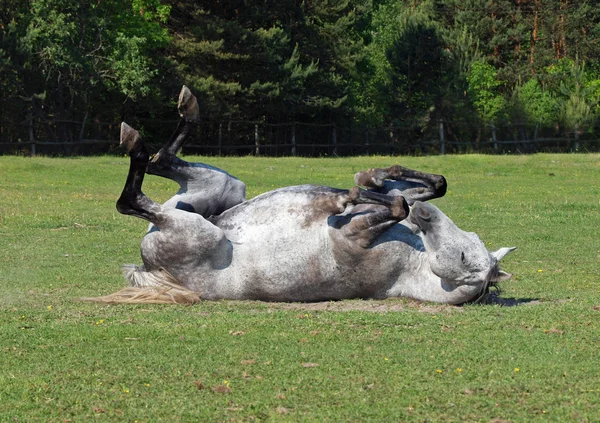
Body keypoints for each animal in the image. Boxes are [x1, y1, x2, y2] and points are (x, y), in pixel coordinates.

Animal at [94, 87, 516, 304]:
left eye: (463, 258)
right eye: (469, 243)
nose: (427, 217)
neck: (411, 261)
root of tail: (151, 270)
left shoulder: (354, 235)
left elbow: (391, 204)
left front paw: (344, 195)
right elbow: (424, 186)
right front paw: (373, 177)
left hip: (196, 229)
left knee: (131, 199)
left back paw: (136, 142)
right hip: (227, 189)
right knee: (161, 160)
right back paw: (182, 110)